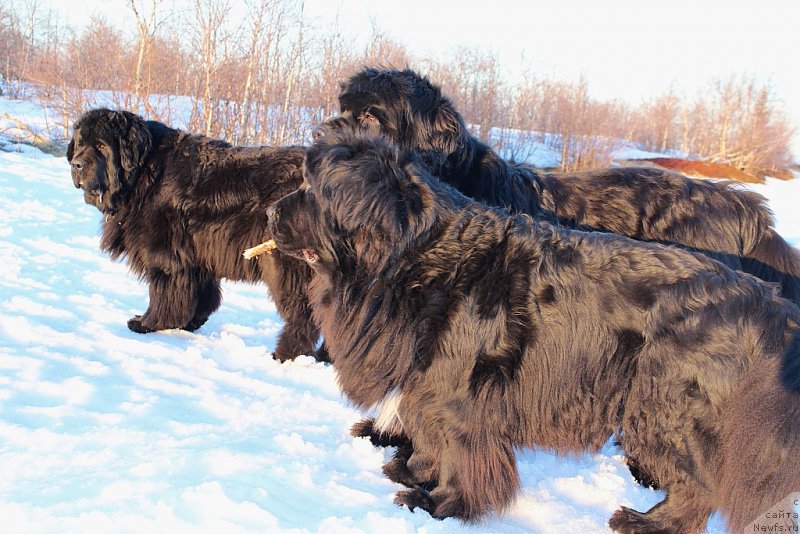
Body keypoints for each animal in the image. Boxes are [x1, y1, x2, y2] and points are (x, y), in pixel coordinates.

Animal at [66, 108, 322, 364]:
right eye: (79, 144)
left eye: (101, 146)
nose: (77, 164)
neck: (143, 173)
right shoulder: (197, 255)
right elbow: (201, 294)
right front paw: (190, 322)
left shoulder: (164, 253)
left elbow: (163, 291)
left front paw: (147, 323)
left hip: (286, 263)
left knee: (303, 314)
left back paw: (286, 354)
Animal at [268, 129, 800, 532]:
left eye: (311, 189)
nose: (271, 211)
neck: (411, 257)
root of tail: (771, 306)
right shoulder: (427, 383)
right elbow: (428, 434)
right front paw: (412, 472)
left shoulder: (461, 393)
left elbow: (458, 447)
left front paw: (441, 503)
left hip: (667, 407)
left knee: (701, 486)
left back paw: (647, 521)